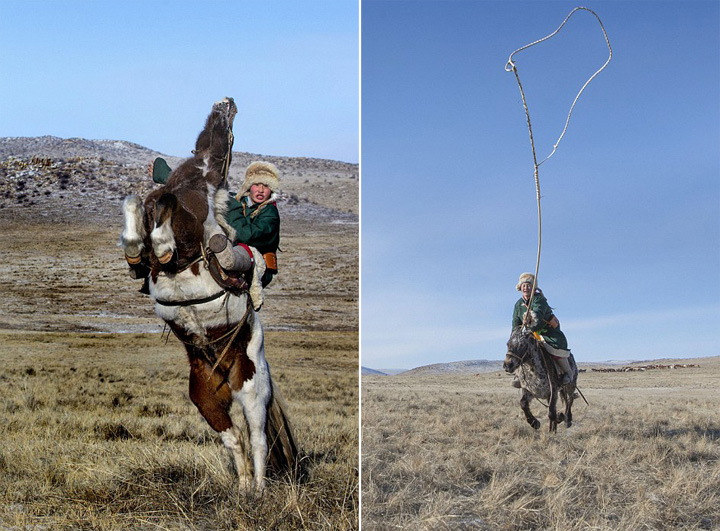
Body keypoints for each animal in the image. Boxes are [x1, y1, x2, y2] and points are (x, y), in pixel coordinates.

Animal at [121, 98, 296, 490]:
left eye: (227, 129)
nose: (226, 103)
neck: (194, 179)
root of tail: (224, 373)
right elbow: (135, 202)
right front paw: (135, 250)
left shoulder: (188, 233)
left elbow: (166, 210)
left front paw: (161, 245)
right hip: (206, 398)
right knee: (235, 438)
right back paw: (243, 487)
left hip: (252, 389)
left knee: (258, 438)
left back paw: (259, 490)